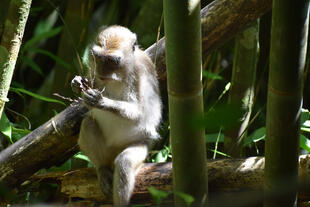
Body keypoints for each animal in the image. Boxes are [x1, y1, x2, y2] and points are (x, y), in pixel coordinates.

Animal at [71, 25, 162, 207]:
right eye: (99, 58)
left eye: (112, 61)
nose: (102, 71)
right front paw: (77, 83)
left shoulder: (141, 73)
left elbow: (141, 113)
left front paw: (101, 101)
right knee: (88, 124)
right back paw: (102, 169)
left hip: (141, 145)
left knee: (124, 164)